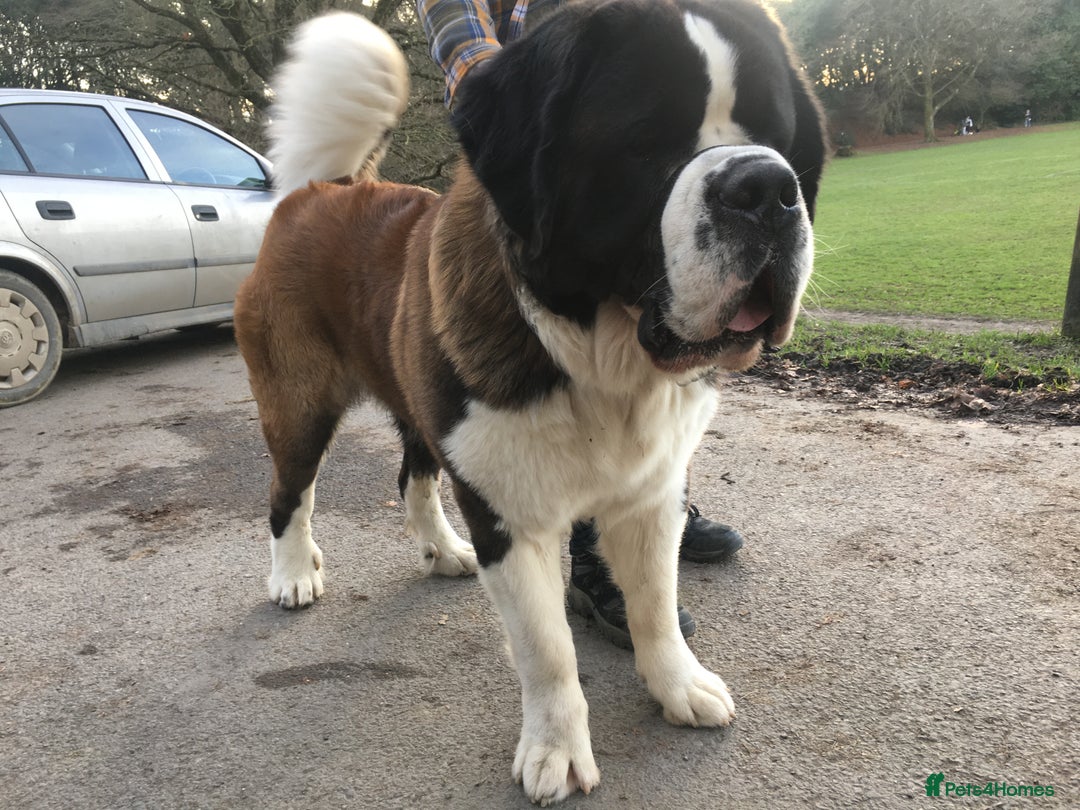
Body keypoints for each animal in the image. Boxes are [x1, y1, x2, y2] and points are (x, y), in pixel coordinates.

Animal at [234, 0, 825, 803]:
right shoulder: (512, 520)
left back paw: (443, 548)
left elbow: (654, 603)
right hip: (300, 406)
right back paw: (294, 574)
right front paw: (555, 751)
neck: (600, 360)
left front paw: (678, 685)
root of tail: (323, 191)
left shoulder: (652, 495)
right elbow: (547, 648)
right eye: (646, 141)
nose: (766, 186)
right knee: (289, 495)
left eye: (778, 136)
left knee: (412, 477)